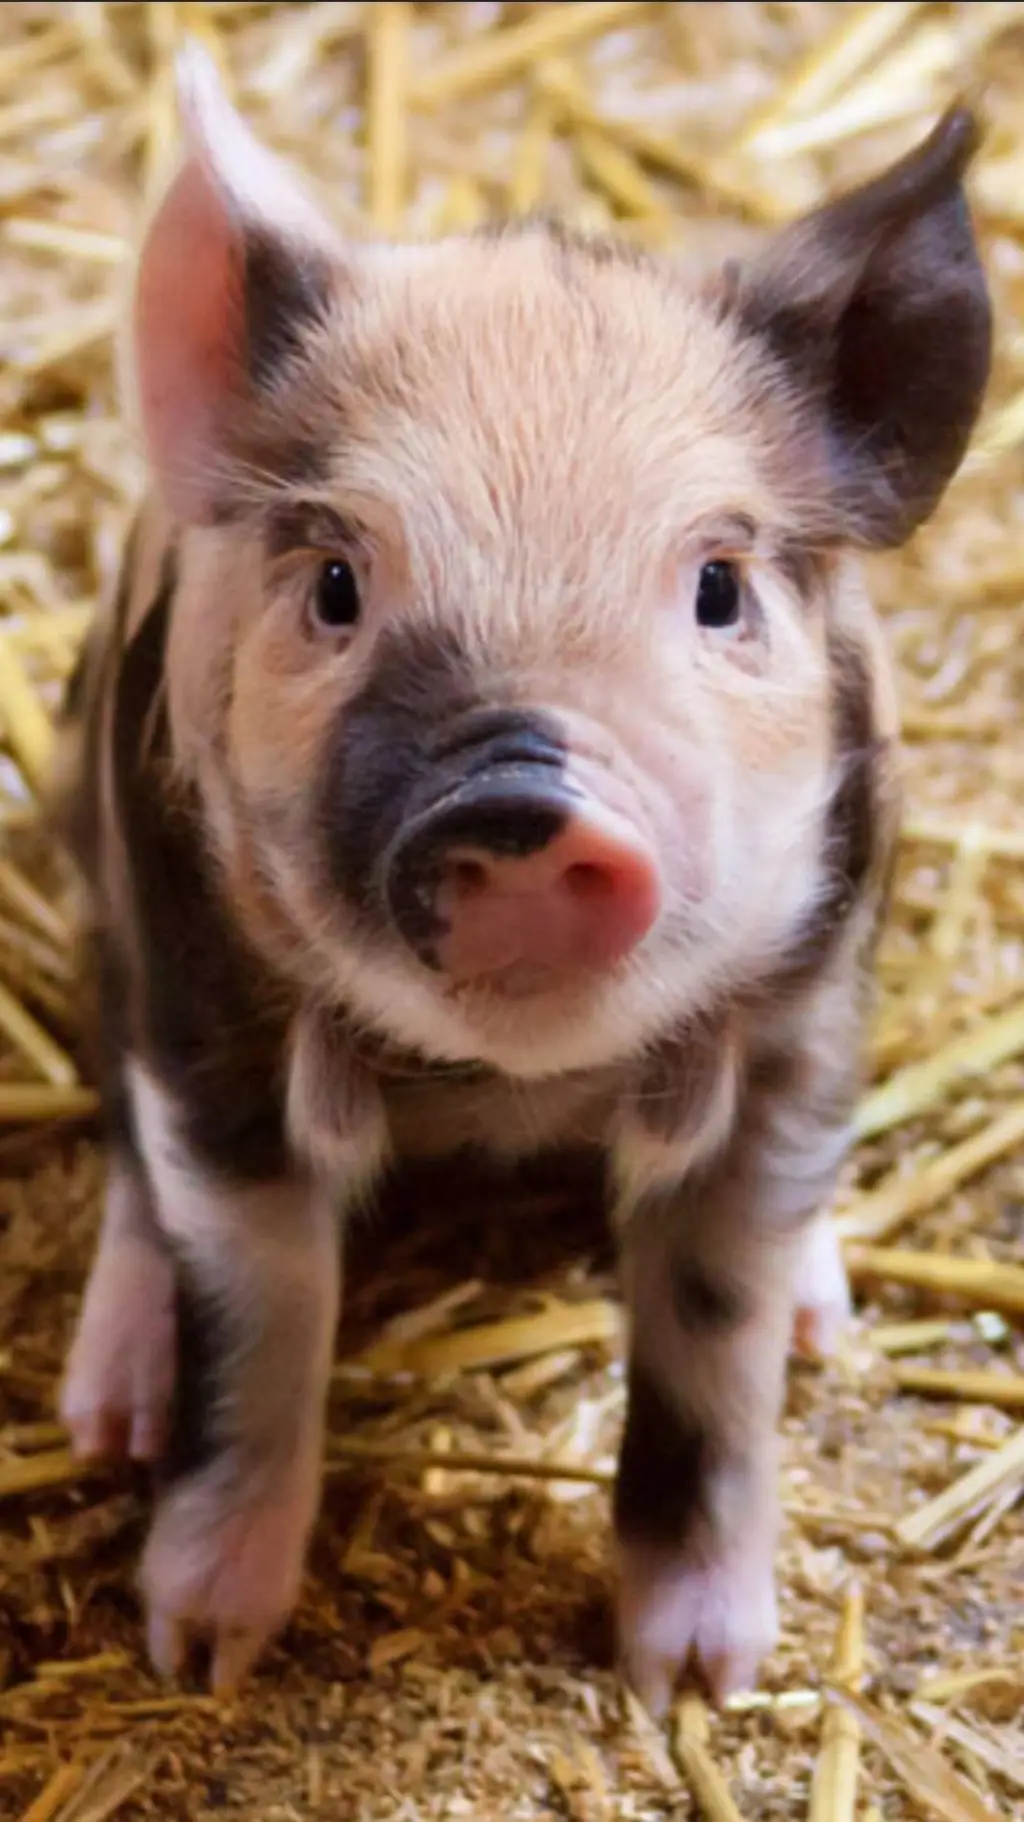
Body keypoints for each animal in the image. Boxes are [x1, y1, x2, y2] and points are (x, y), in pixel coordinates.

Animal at [52, 45, 991, 1710]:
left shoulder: (806, 1016)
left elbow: (718, 1332)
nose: (518, 799)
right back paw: (106, 1413)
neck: (509, 1090)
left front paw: (698, 1678)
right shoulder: (200, 999)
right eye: (337, 583)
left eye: (719, 588)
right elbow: (261, 1308)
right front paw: (201, 1649)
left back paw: (829, 1323)